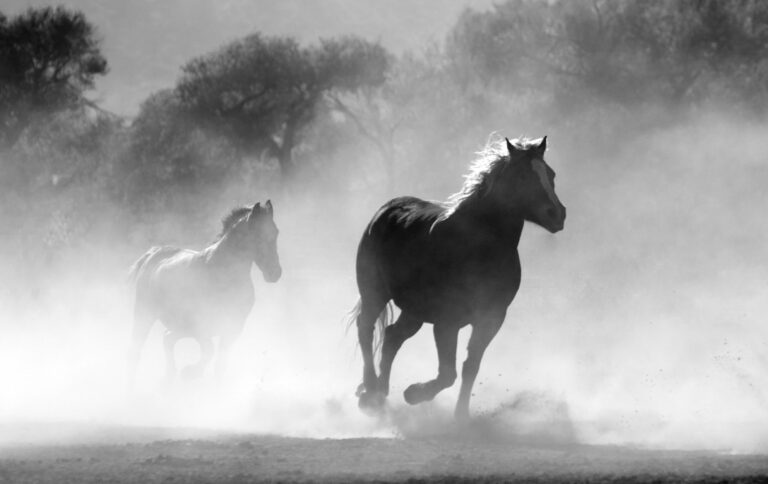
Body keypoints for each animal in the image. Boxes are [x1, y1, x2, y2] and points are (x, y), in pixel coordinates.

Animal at [127, 201, 281, 386]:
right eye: (258, 235)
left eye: (276, 232)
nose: (275, 273)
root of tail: (153, 254)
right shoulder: (201, 326)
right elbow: (209, 351)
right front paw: (190, 372)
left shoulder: (233, 328)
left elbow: (220, 364)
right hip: (145, 315)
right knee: (137, 349)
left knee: (167, 339)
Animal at [350, 136, 565, 420]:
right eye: (522, 176)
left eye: (550, 174)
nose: (557, 214)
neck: (478, 247)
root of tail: (386, 210)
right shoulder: (447, 321)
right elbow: (447, 373)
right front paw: (414, 393)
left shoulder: (491, 318)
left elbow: (470, 366)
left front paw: (461, 416)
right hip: (374, 293)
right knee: (366, 328)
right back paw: (370, 391)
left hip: (414, 311)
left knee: (392, 336)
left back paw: (380, 393)